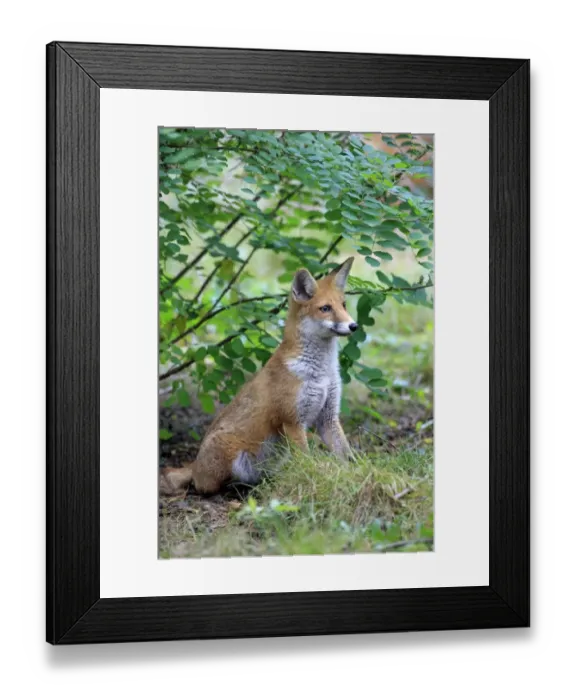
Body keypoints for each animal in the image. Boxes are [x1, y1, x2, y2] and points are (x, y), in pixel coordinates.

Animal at [159, 256, 359, 499]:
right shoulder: (292, 420)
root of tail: (194, 465)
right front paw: (315, 481)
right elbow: (306, 460)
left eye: (343, 305)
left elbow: (347, 456)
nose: (354, 326)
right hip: (231, 455)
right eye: (325, 309)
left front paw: (355, 477)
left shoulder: (328, 417)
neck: (321, 373)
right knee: (205, 487)